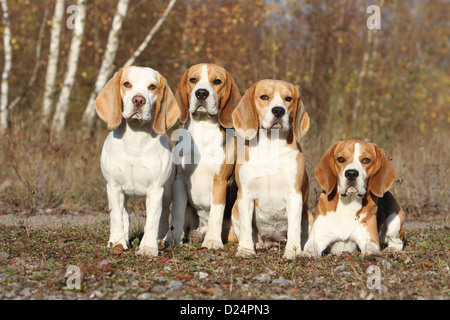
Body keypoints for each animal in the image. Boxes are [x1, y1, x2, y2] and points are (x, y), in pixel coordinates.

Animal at [95, 65, 185, 258]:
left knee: (163, 215)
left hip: (167, 193)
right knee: (124, 215)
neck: (135, 138)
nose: (138, 100)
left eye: (152, 87)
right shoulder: (113, 187)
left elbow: (152, 220)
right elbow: (116, 217)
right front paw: (118, 243)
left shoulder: (156, 189)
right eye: (127, 84)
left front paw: (148, 247)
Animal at [174, 63, 241, 250]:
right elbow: (177, 211)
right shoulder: (180, 180)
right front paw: (173, 238)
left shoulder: (220, 180)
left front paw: (212, 241)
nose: (202, 93)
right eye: (193, 79)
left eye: (217, 81)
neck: (203, 128)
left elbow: (216, 213)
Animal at [229, 79, 312, 260]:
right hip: (234, 210)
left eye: (288, 99)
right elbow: (246, 227)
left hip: (308, 214)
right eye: (264, 96)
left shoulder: (294, 195)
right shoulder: (245, 195)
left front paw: (293, 251)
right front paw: (246, 250)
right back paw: (258, 245)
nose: (279, 110)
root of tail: (273, 242)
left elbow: (294, 228)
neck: (270, 146)